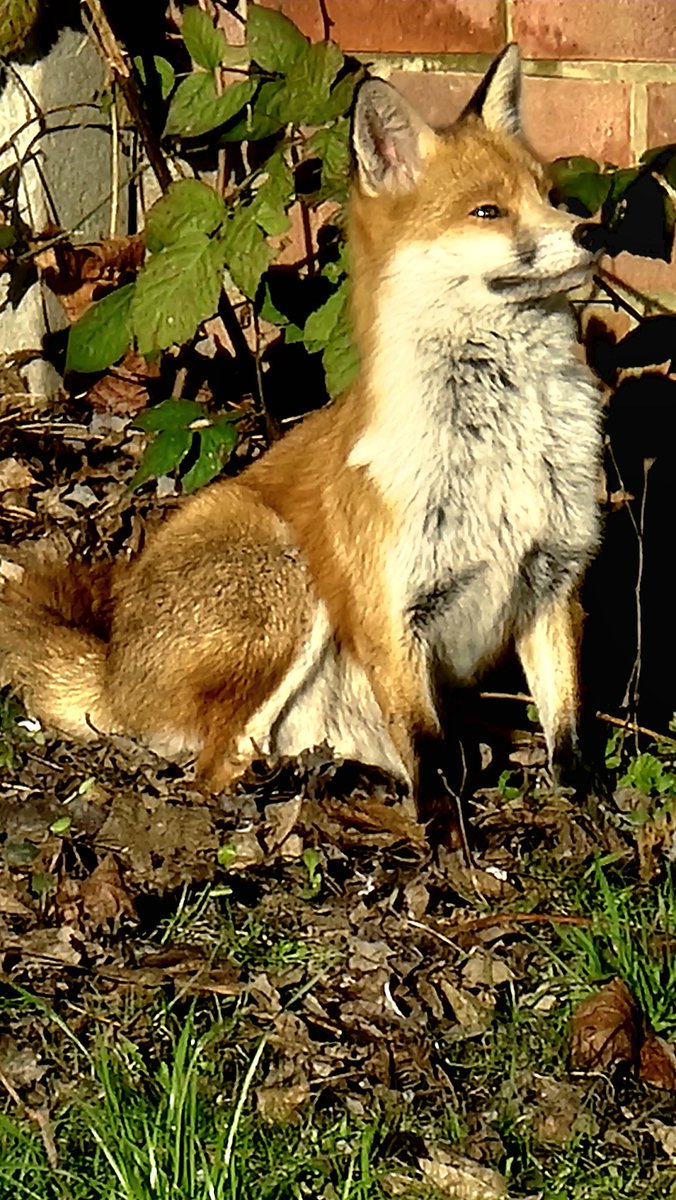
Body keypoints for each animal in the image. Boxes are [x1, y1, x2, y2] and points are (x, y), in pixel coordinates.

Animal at [0, 46, 602, 816]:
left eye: (550, 194)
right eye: (487, 211)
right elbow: (435, 760)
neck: (501, 441)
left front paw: (591, 817)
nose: (589, 231)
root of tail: (111, 675)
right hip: (289, 579)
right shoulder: (390, 615)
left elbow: (570, 737)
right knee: (213, 767)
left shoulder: (552, 584)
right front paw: (450, 835)